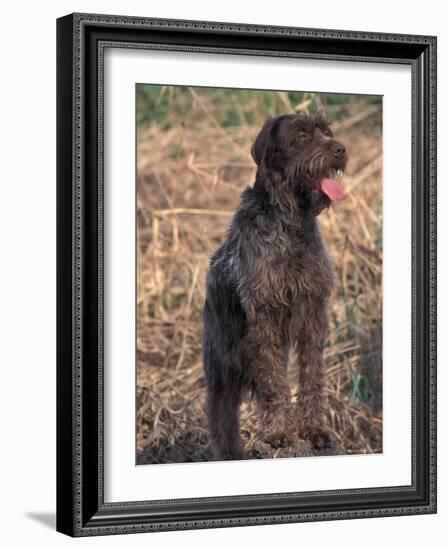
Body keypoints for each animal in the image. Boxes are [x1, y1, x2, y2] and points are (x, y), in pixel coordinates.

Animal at [202, 113, 346, 462]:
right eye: (301, 136)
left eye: (325, 131)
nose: (341, 149)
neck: (290, 223)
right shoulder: (264, 318)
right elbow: (273, 385)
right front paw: (279, 432)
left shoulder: (312, 314)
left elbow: (311, 377)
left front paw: (314, 429)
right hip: (222, 364)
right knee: (221, 416)